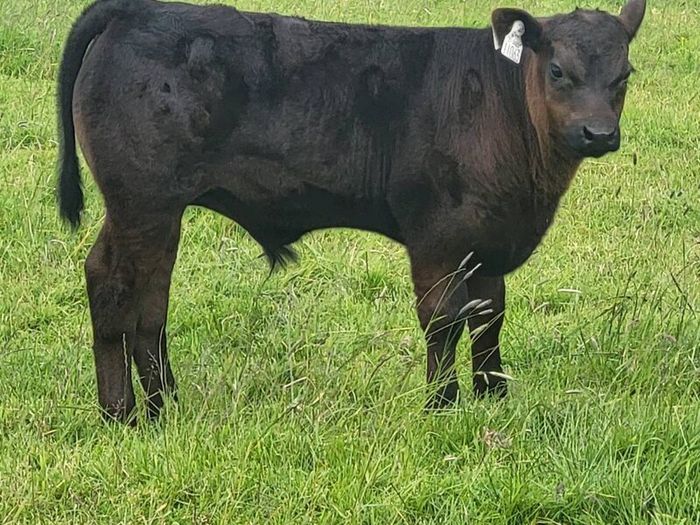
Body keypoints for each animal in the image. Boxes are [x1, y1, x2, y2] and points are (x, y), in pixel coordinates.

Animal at [57, 0, 646, 423]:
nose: (598, 133)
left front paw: (491, 395)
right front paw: (441, 405)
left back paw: (165, 406)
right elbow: (443, 320)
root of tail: (135, 10)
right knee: (112, 284)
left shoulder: (489, 241)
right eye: (558, 71)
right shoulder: (437, 236)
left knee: (150, 301)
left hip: (157, 212)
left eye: (624, 76)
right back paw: (121, 414)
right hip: (141, 203)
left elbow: (489, 317)